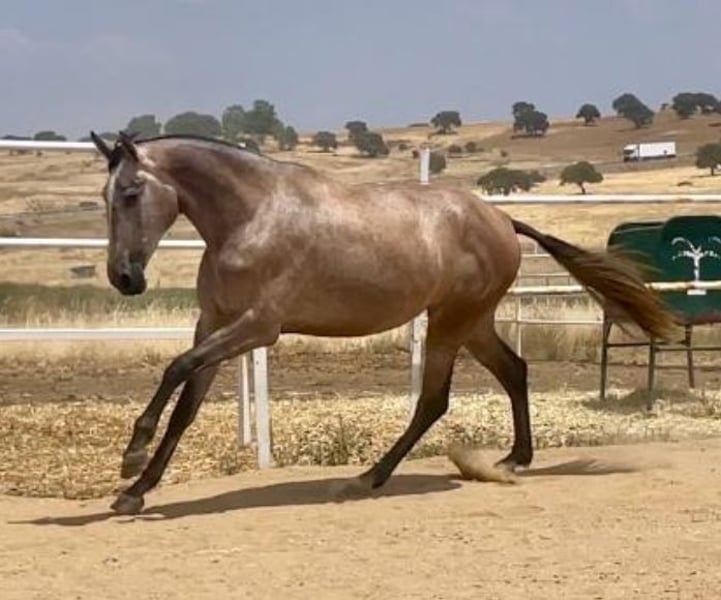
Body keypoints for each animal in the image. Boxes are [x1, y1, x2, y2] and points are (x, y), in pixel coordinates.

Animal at [89, 131, 676, 515]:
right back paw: (512, 461)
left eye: (132, 192)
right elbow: (186, 407)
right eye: (104, 195)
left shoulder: (257, 327)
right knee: (515, 371)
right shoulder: (214, 323)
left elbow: (175, 368)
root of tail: (502, 219)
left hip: (451, 322)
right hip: (472, 322)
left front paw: (130, 456)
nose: (124, 278)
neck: (251, 217)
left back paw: (366, 478)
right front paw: (134, 491)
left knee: (434, 400)